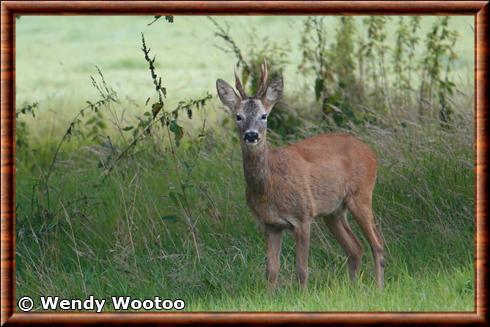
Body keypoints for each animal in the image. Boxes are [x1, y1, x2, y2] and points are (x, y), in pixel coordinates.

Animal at [216, 60, 384, 290]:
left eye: (264, 115)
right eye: (238, 116)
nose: (251, 135)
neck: (269, 185)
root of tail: (371, 152)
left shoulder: (303, 215)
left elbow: (302, 269)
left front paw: (303, 295)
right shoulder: (271, 224)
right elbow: (271, 270)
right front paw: (270, 295)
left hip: (362, 195)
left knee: (377, 244)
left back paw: (379, 288)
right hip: (333, 211)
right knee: (355, 248)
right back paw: (352, 288)